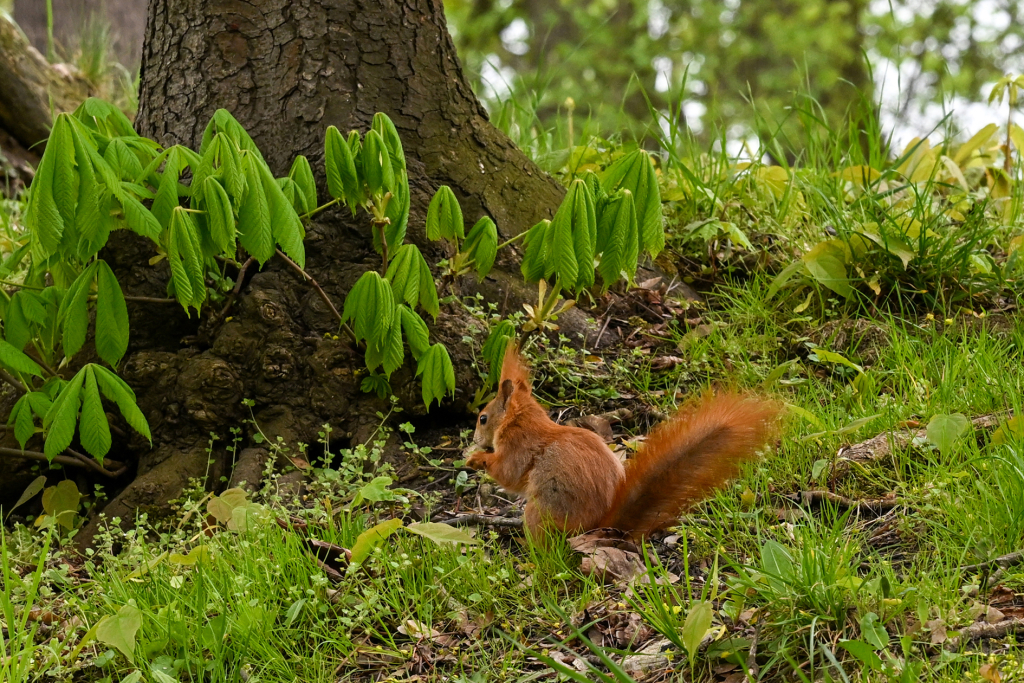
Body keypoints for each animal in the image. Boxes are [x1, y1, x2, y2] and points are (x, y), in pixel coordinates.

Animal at [468, 344, 778, 540]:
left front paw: (476, 459)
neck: (521, 420)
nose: (474, 438)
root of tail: (597, 527)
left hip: (540, 512)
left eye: (483, 418)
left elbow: (508, 473)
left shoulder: (518, 445)